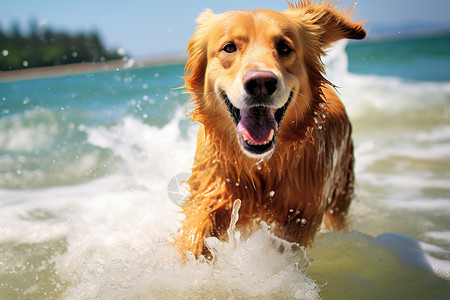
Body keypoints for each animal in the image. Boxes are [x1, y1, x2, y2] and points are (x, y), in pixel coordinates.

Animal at [176, 0, 366, 258]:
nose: (260, 83)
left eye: (284, 47)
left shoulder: (302, 212)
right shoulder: (212, 193)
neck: (261, 168)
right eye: (229, 48)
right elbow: (194, 236)